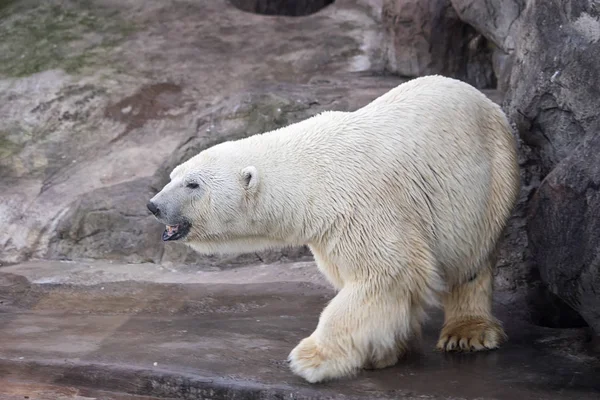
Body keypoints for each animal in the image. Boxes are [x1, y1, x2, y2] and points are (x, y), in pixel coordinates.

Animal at [149, 75, 520, 384]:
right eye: (172, 175)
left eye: (192, 184)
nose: (153, 206)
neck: (310, 174)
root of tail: (482, 99)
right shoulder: (328, 228)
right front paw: (382, 352)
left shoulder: (361, 205)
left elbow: (384, 274)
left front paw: (310, 359)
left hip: (485, 186)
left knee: (472, 262)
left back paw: (466, 332)